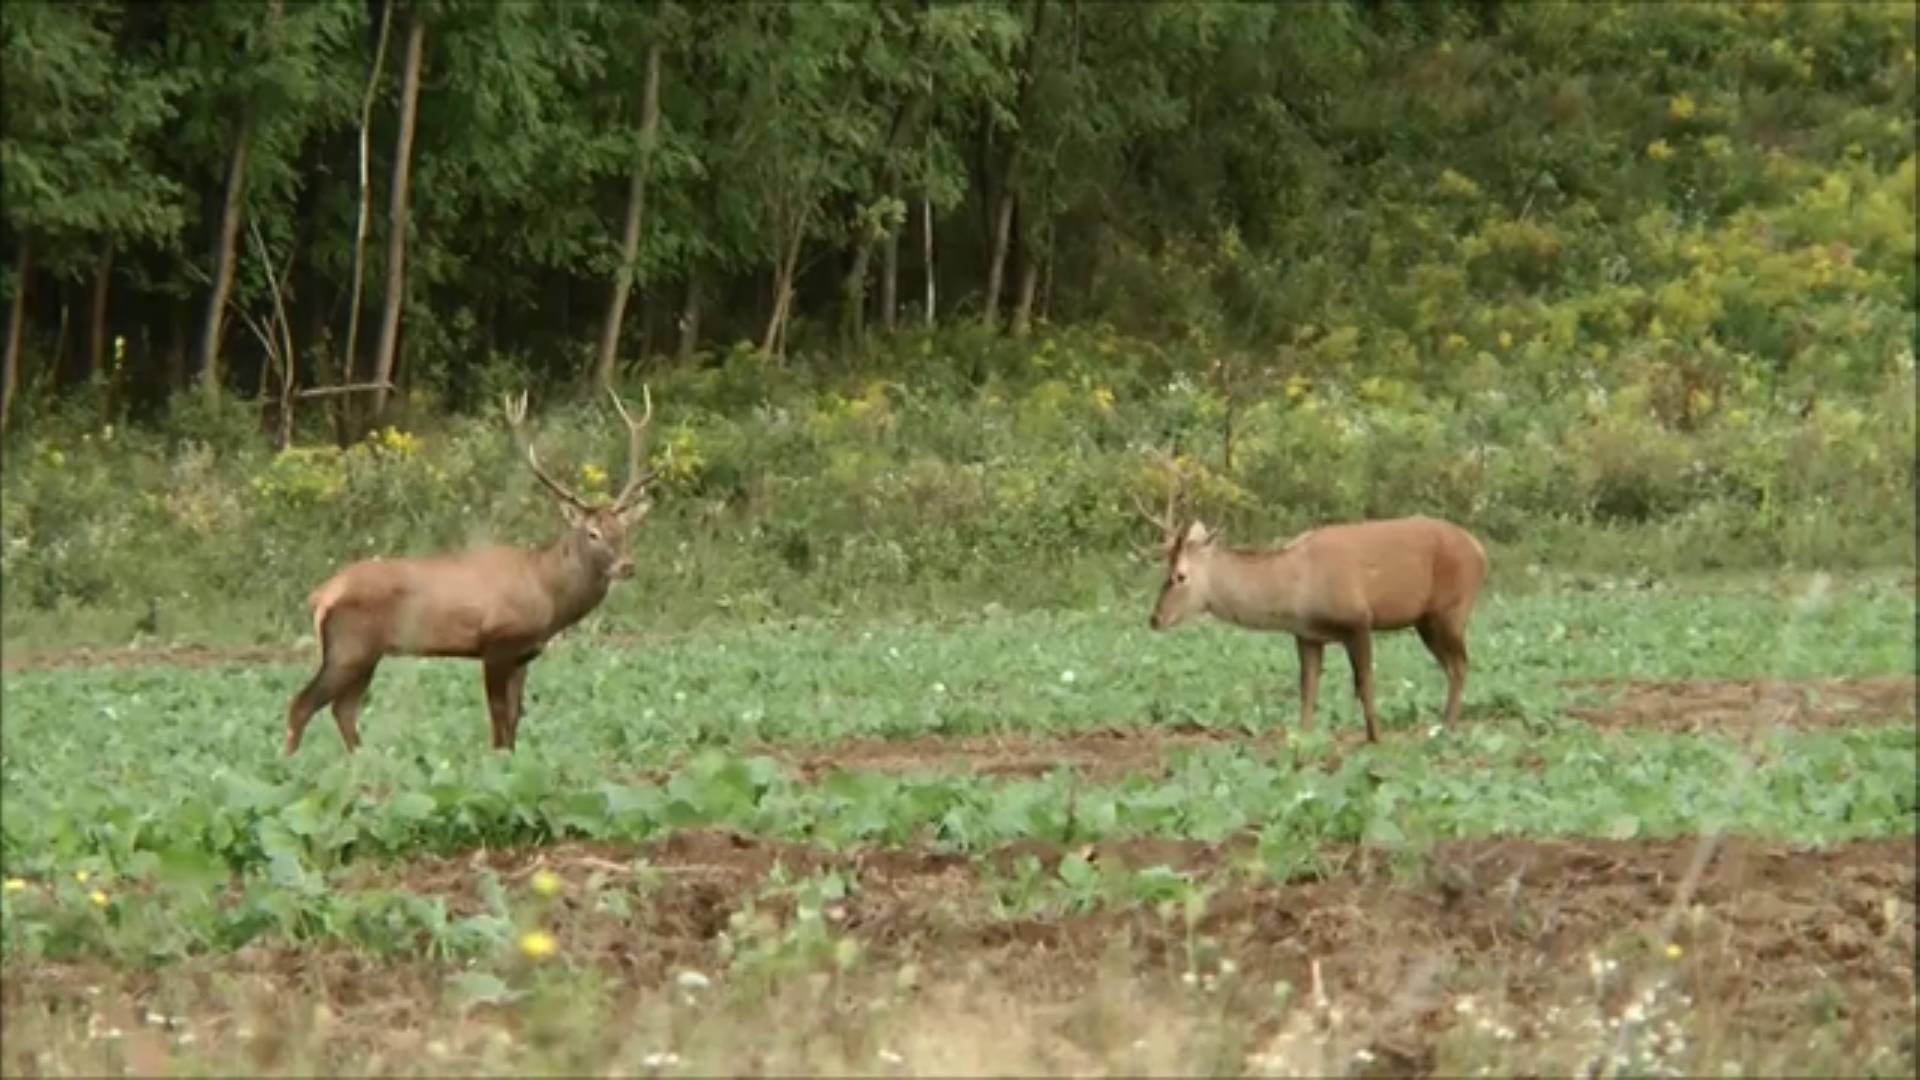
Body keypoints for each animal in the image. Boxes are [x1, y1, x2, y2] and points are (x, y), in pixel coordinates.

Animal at [280, 382, 664, 753]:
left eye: (624, 531)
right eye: (592, 533)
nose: (627, 566)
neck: (546, 594)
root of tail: (319, 596)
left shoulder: (525, 654)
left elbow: (514, 721)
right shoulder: (496, 644)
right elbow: (499, 722)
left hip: (365, 654)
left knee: (343, 709)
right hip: (349, 647)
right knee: (302, 704)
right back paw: (290, 764)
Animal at [1128, 453, 1489, 737]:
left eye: (1179, 576)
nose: (1155, 618)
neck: (1296, 590)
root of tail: (1479, 548)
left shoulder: (1358, 620)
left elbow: (1364, 684)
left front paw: (1375, 740)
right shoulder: (1307, 635)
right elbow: (1307, 689)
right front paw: (1303, 741)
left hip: (1451, 608)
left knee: (1460, 664)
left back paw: (1446, 729)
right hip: (1426, 620)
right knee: (1453, 665)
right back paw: (1443, 726)